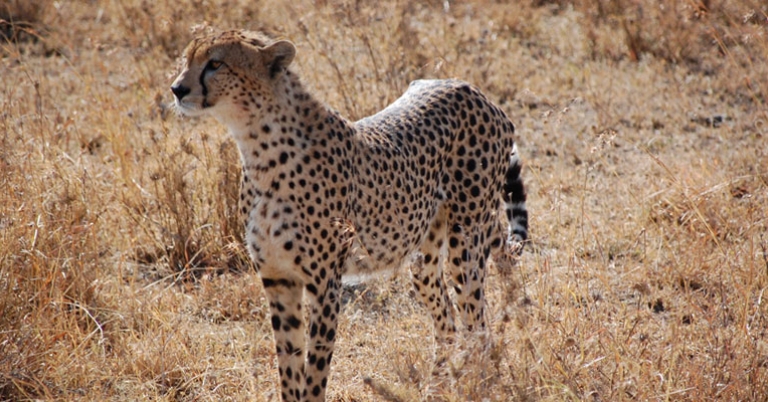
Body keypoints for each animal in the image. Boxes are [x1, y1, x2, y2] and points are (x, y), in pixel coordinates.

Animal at [170, 29, 528, 402]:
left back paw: (479, 384)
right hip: (423, 258)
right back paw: (436, 386)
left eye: (215, 63)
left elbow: (315, 370)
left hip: (465, 246)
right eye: (187, 60)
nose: (177, 89)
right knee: (447, 320)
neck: (258, 146)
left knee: (478, 324)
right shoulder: (277, 278)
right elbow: (289, 364)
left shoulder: (325, 282)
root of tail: (471, 90)